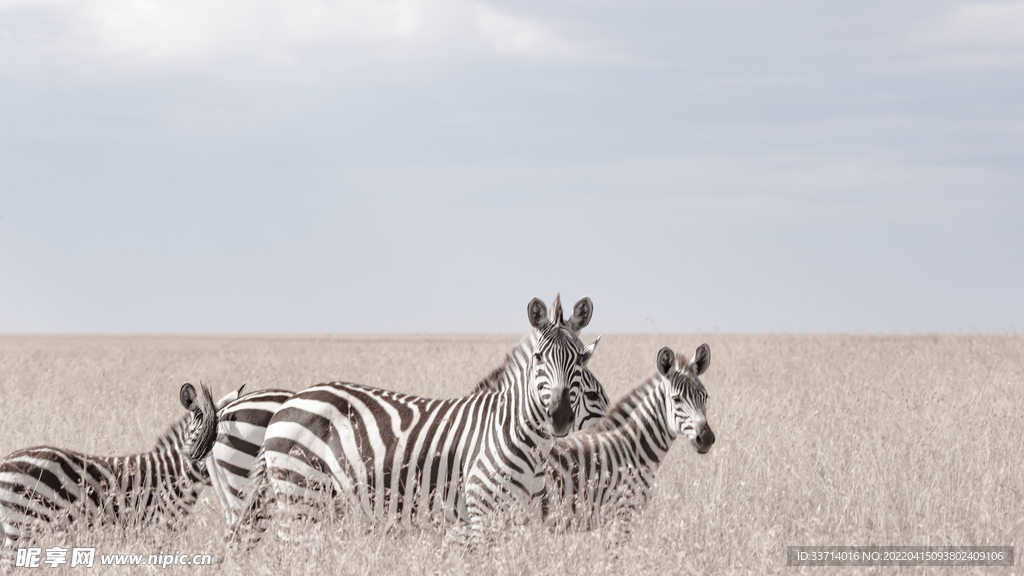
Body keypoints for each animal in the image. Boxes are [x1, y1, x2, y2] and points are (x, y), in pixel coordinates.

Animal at [0, 379, 237, 549]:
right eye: (199, 435)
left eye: (221, 436)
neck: (172, 475)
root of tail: (5, 462)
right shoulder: (156, 530)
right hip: (23, 525)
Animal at [225, 293, 602, 545]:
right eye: (539, 357)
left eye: (582, 360)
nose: (560, 418)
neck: (515, 432)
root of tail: (287, 403)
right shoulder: (481, 513)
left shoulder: (524, 517)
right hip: (301, 494)